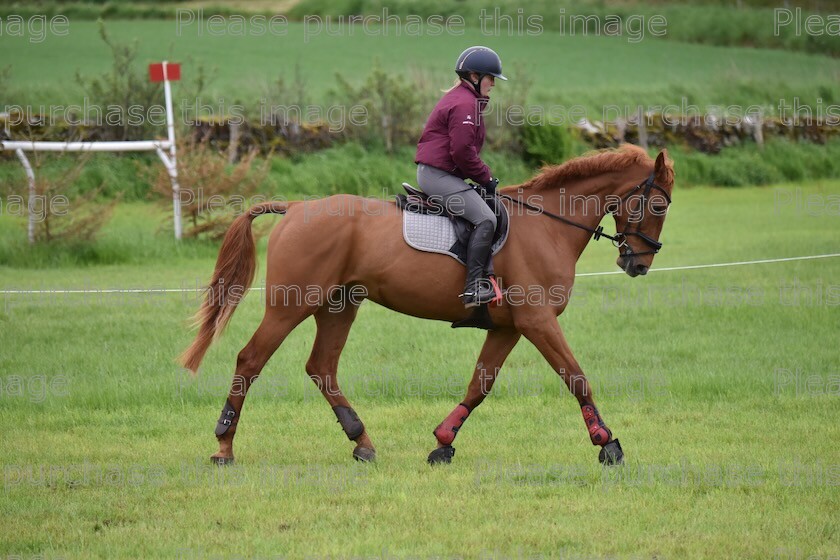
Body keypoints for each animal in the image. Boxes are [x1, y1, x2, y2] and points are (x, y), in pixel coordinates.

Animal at [180, 143, 672, 464]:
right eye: (659, 205)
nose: (639, 263)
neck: (547, 224)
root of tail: (296, 207)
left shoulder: (509, 327)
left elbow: (479, 386)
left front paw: (443, 442)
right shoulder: (537, 321)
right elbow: (577, 378)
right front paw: (607, 442)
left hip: (339, 306)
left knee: (322, 368)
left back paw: (362, 442)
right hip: (290, 305)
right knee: (250, 360)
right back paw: (224, 445)